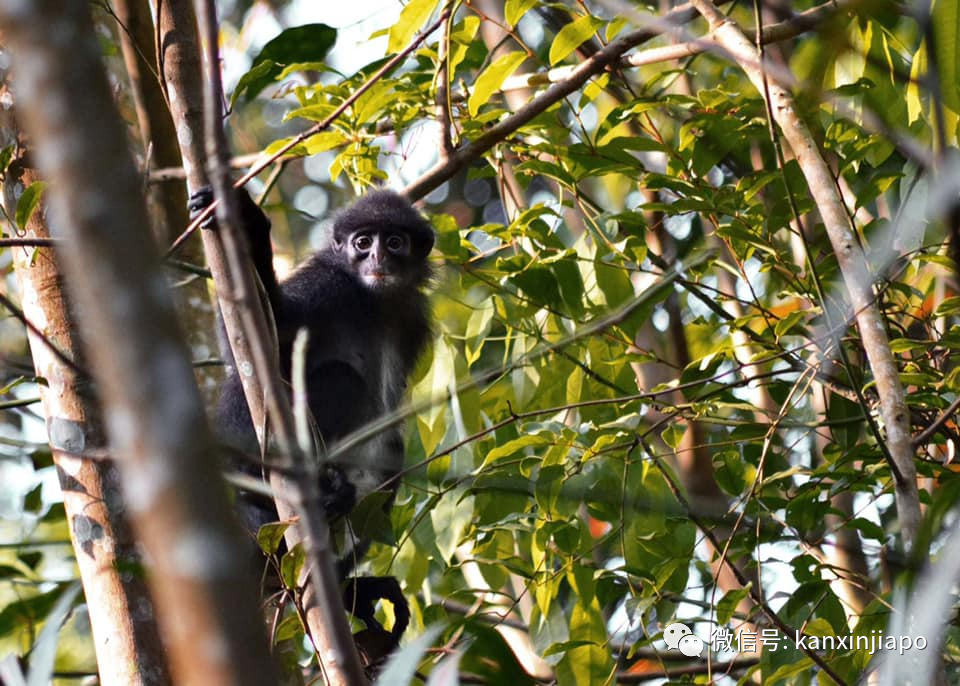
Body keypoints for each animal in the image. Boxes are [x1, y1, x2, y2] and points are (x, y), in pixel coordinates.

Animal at [193, 185, 434, 652]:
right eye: (363, 242)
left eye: (395, 242)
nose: (377, 258)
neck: (372, 300)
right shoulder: (327, 284)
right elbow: (249, 354)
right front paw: (247, 223)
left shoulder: (412, 316)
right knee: (338, 377)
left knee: (390, 450)